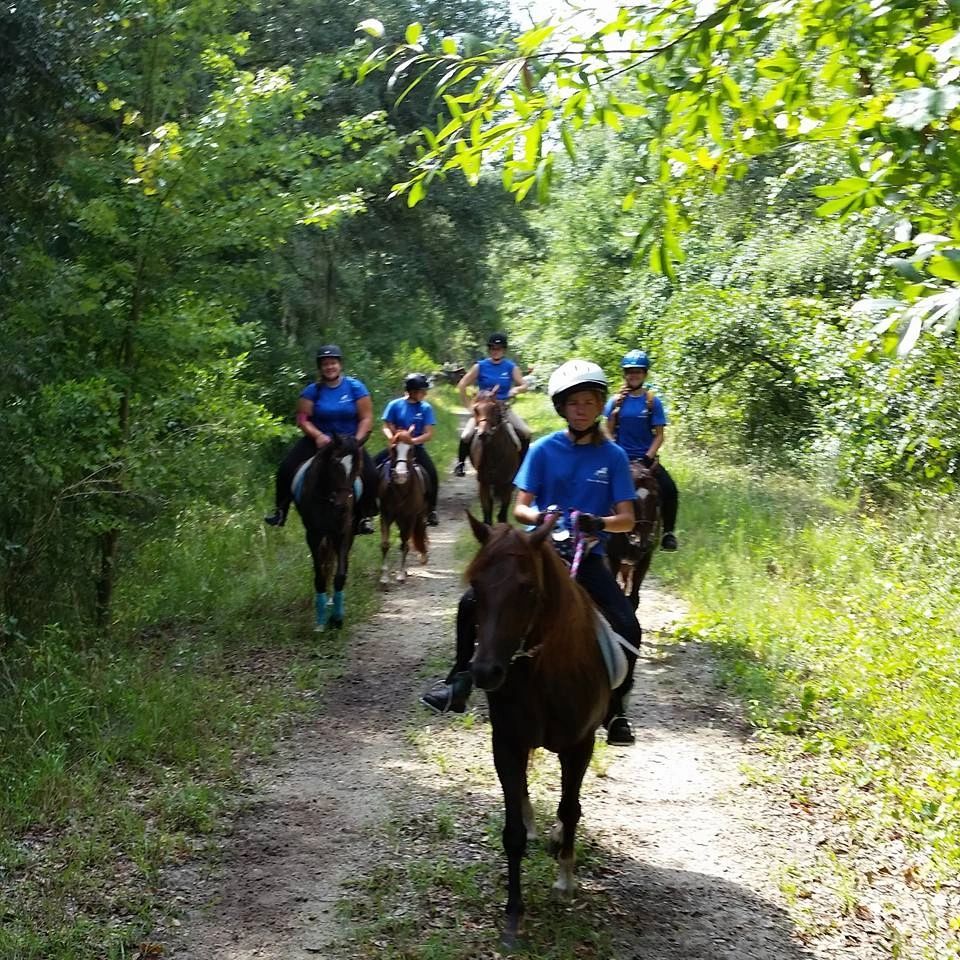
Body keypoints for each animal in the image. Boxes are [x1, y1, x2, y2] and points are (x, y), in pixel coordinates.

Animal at [292, 434, 360, 632]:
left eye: (357, 466)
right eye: (335, 462)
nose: (343, 506)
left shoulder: (343, 533)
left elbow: (340, 575)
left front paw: (337, 618)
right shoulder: (313, 535)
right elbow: (320, 575)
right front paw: (321, 621)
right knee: (325, 564)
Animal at [376, 440, 430, 584]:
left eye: (410, 449)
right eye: (393, 448)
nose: (401, 475)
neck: (400, 491)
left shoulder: (410, 517)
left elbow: (405, 544)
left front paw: (400, 574)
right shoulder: (385, 515)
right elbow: (385, 544)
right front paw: (384, 577)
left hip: (418, 516)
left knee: (419, 532)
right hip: (400, 519)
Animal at [464, 512, 608, 948]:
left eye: (527, 587)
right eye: (475, 586)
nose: (485, 672)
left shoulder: (580, 745)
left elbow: (571, 809)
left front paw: (565, 880)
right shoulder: (506, 743)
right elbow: (511, 832)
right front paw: (514, 915)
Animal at [468, 390, 520, 524]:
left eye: (494, 408)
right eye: (475, 409)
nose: (483, 434)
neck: (494, 454)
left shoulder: (507, 483)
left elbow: (502, 514)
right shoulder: (483, 484)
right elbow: (487, 513)